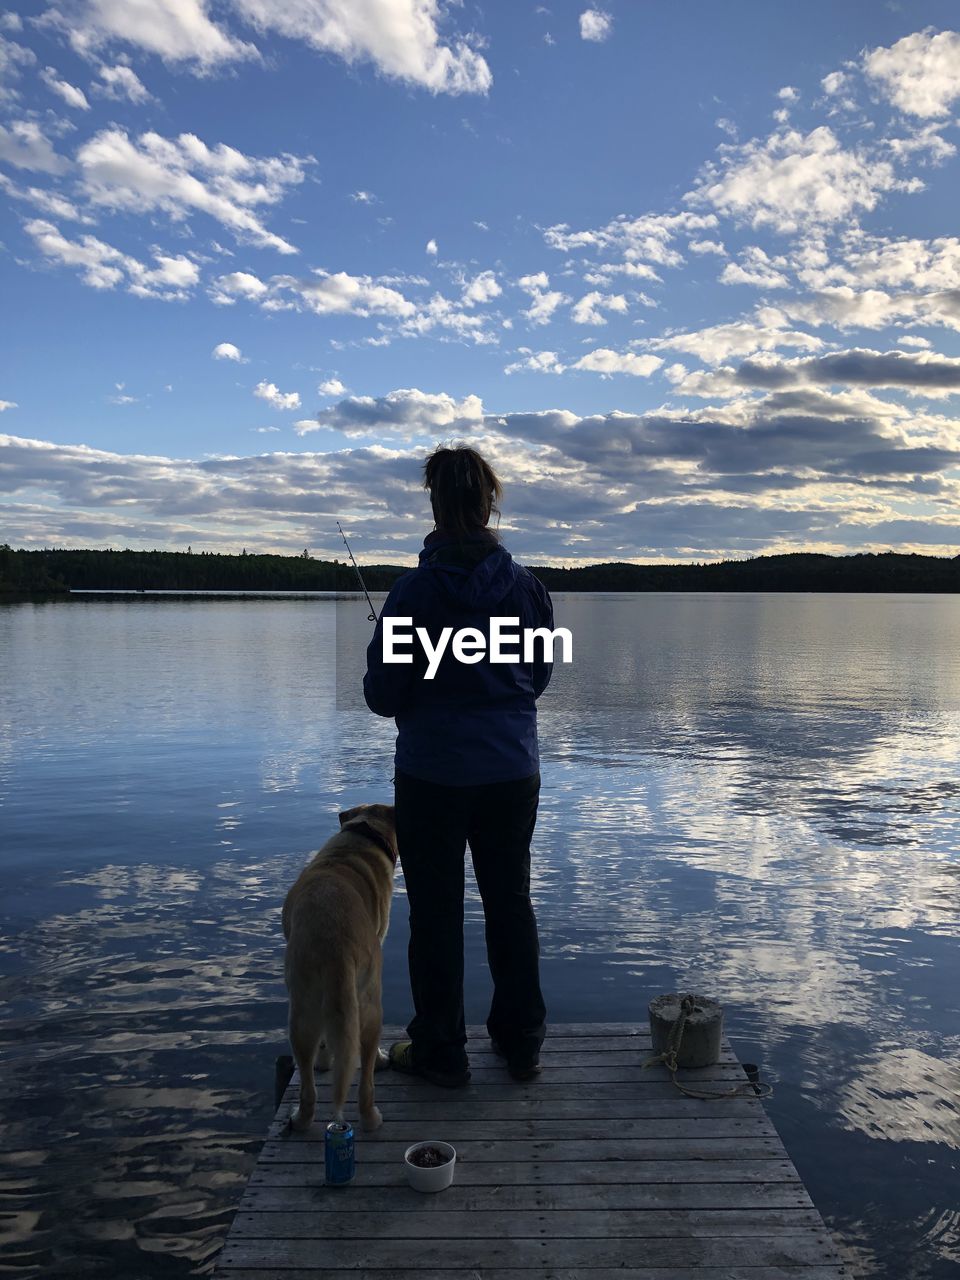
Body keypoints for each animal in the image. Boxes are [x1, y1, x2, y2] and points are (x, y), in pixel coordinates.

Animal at [281, 803, 399, 1136]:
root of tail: (335, 940)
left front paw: (324, 1060)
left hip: (302, 1010)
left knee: (308, 1085)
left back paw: (301, 1120)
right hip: (370, 1006)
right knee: (366, 1078)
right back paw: (371, 1116)